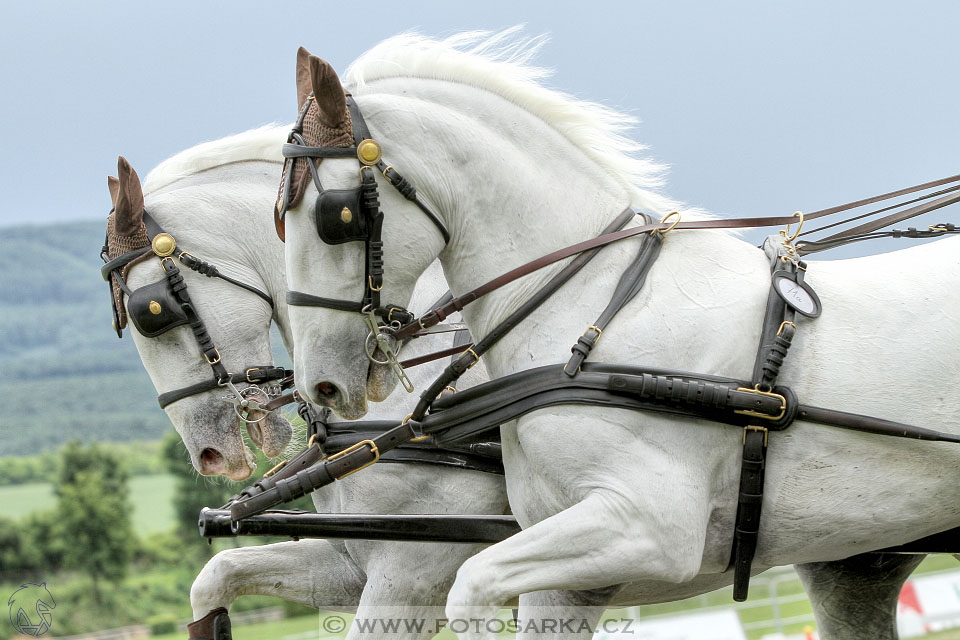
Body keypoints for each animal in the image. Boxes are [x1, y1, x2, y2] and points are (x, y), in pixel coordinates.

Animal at [282, 31, 956, 640]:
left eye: (335, 218)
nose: (320, 384)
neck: (594, 313)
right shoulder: (566, 569)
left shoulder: (650, 528)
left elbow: (471, 586)